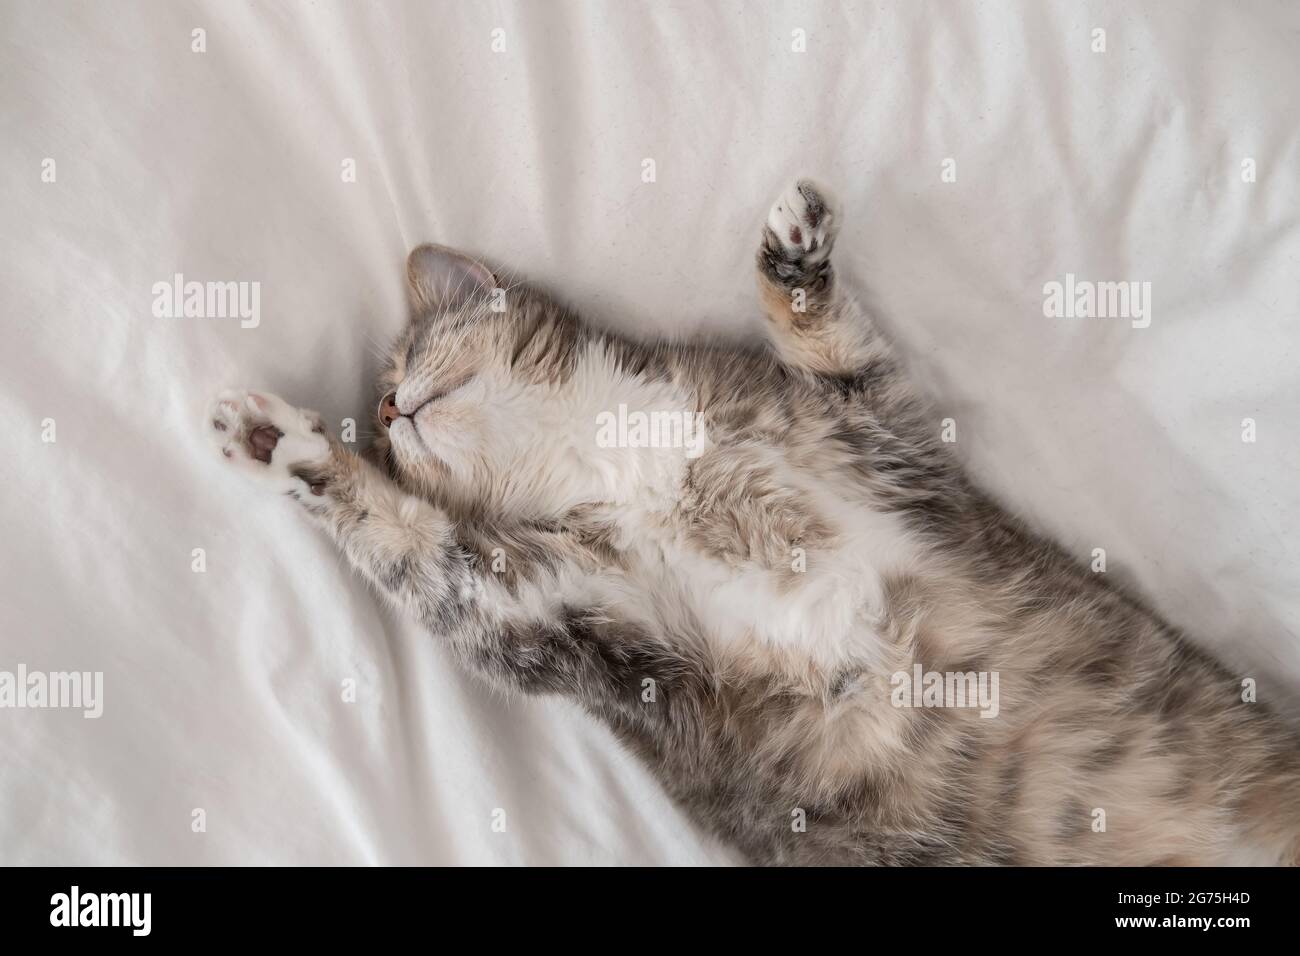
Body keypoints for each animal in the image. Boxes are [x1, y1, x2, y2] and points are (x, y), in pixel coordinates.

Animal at [213, 179, 1300, 868]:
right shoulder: (562, 612)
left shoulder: (882, 433)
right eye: (380, 408)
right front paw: (284, 446)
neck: (622, 460)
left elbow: (836, 342)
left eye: (402, 362)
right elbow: (417, 548)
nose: (391, 409)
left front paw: (795, 254)